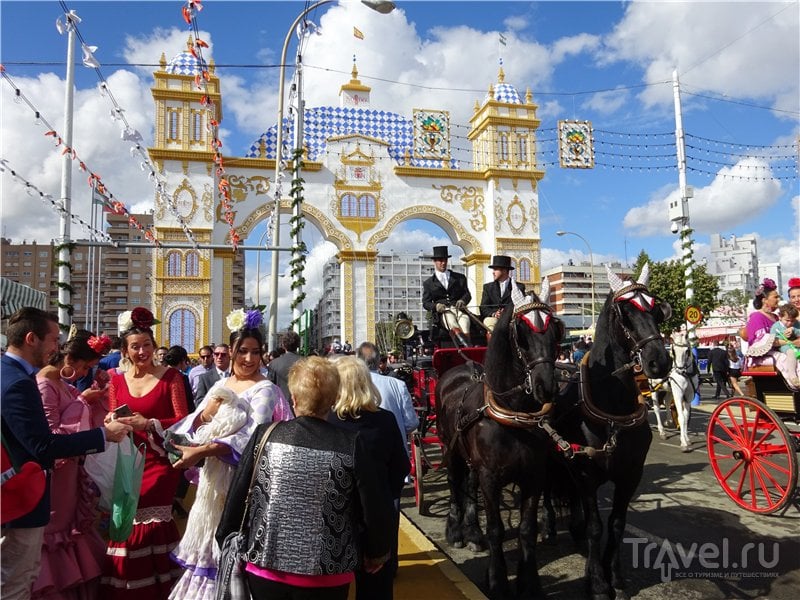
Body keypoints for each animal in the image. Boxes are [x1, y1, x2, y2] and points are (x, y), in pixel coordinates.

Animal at [438, 288, 564, 596]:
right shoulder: (491, 477)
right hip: (450, 448)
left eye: (555, 330)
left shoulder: (534, 475)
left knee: (469, 483)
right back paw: (456, 529)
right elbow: (496, 528)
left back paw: (472, 531)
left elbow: (527, 529)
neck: (513, 414)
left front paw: (529, 583)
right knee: (455, 483)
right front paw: (496, 580)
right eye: (521, 333)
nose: (546, 387)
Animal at [552, 268, 668, 600]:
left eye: (656, 309)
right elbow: (596, 526)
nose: (659, 361)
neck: (612, 411)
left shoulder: (630, 474)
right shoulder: (586, 475)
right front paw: (598, 582)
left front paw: (612, 573)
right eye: (625, 313)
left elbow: (617, 523)